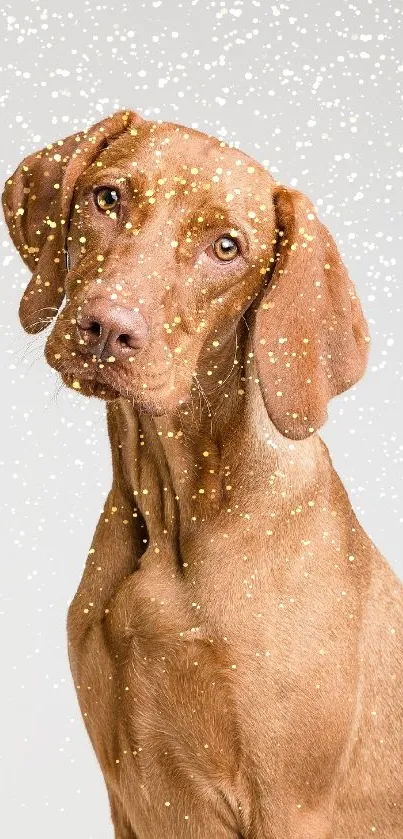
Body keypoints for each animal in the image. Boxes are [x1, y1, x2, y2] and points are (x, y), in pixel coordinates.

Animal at [3, 110, 403, 839]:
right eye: (108, 197)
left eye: (226, 247)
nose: (107, 327)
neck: (173, 515)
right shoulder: (124, 792)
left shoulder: (288, 805)